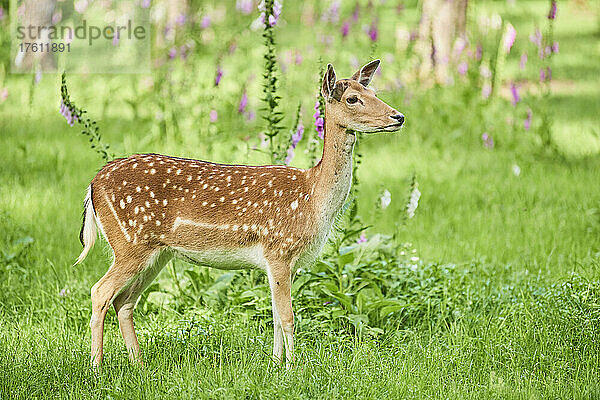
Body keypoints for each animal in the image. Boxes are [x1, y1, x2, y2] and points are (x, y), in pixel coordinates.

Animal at [75, 59, 404, 368]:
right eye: (352, 98)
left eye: (374, 93)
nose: (398, 117)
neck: (313, 199)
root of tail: (92, 185)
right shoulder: (279, 249)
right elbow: (288, 317)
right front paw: (293, 368)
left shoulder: (278, 262)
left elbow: (274, 316)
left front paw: (275, 364)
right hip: (130, 242)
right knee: (100, 292)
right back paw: (97, 367)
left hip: (157, 253)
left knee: (124, 301)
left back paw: (139, 365)